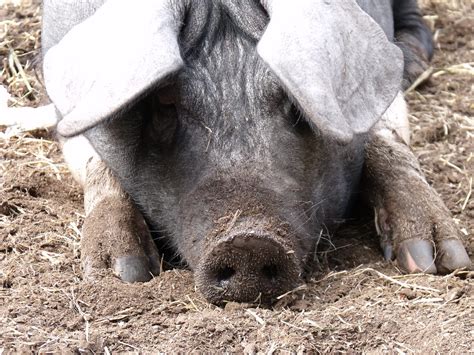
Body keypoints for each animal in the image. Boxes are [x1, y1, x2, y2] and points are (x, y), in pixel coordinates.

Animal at [34, 0, 470, 306]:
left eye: (295, 102)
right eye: (164, 103)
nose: (246, 240)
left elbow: (389, 138)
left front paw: (436, 261)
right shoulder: (66, 110)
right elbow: (98, 165)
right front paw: (123, 273)